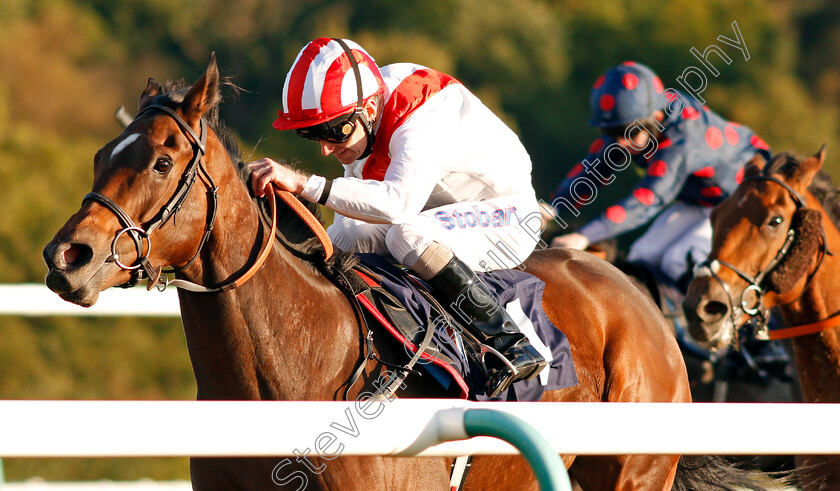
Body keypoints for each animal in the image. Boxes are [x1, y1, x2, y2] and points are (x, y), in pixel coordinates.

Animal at [44, 54, 768, 491]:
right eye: (101, 155)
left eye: (161, 162)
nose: (66, 257)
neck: (297, 368)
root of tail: (640, 302)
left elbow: (396, 202)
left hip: (633, 469)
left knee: (411, 229)